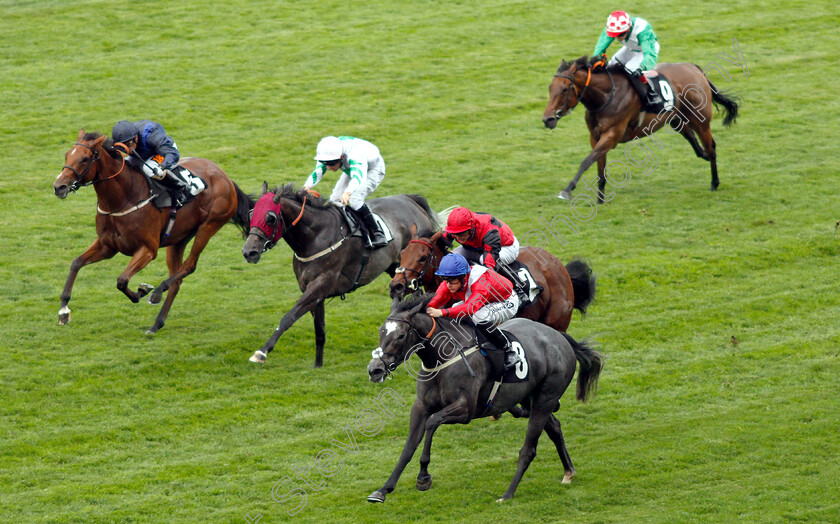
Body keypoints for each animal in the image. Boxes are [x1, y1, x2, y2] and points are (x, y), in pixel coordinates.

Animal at [52, 131, 253, 334]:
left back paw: (156, 293)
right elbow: (76, 263)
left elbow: (122, 280)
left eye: (84, 159)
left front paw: (142, 291)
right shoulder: (107, 246)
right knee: (177, 279)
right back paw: (157, 324)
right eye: (67, 155)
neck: (123, 198)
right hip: (178, 239)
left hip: (209, 226)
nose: (59, 186)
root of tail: (225, 177)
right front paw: (63, 311)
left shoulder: (148, 249)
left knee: (189, 266)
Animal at [241, 184, 440, 368]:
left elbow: (289, 317)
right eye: (251, 215)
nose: (249, 252)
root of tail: (410, 199)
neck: (314, 238)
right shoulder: (314, 293)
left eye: (270, 218)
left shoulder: (319, 286)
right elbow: (319, 330)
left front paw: (262, 352)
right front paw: (318, 365)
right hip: (397, 271)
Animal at [368, 294, 604, 504]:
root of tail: (561, 338)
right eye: (381, 331)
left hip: (545, 398)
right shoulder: (420, 407)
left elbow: (432, 422)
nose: (375, 370)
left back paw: (507, 494)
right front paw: (383, 490)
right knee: (553, 426)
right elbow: (408, 447)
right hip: (531, 397)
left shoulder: (465, 409)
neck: (442, 358)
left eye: (400, 335)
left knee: (528, 449)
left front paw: (423, 477)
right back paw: (568, 471)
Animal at [540, 55, 740, 202]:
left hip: (700, 120)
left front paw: (567, 190)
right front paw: (600, 200)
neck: (606, 96)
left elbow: (587, 161)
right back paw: (704, 157)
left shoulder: (611, 136)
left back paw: (714, 182)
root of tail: (693, 67)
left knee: (711, 147)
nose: (547, 119)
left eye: (564, 89)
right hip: (676, 120)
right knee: (695, 142)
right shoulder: (595, 137)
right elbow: (599, 166)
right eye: (550, 88)